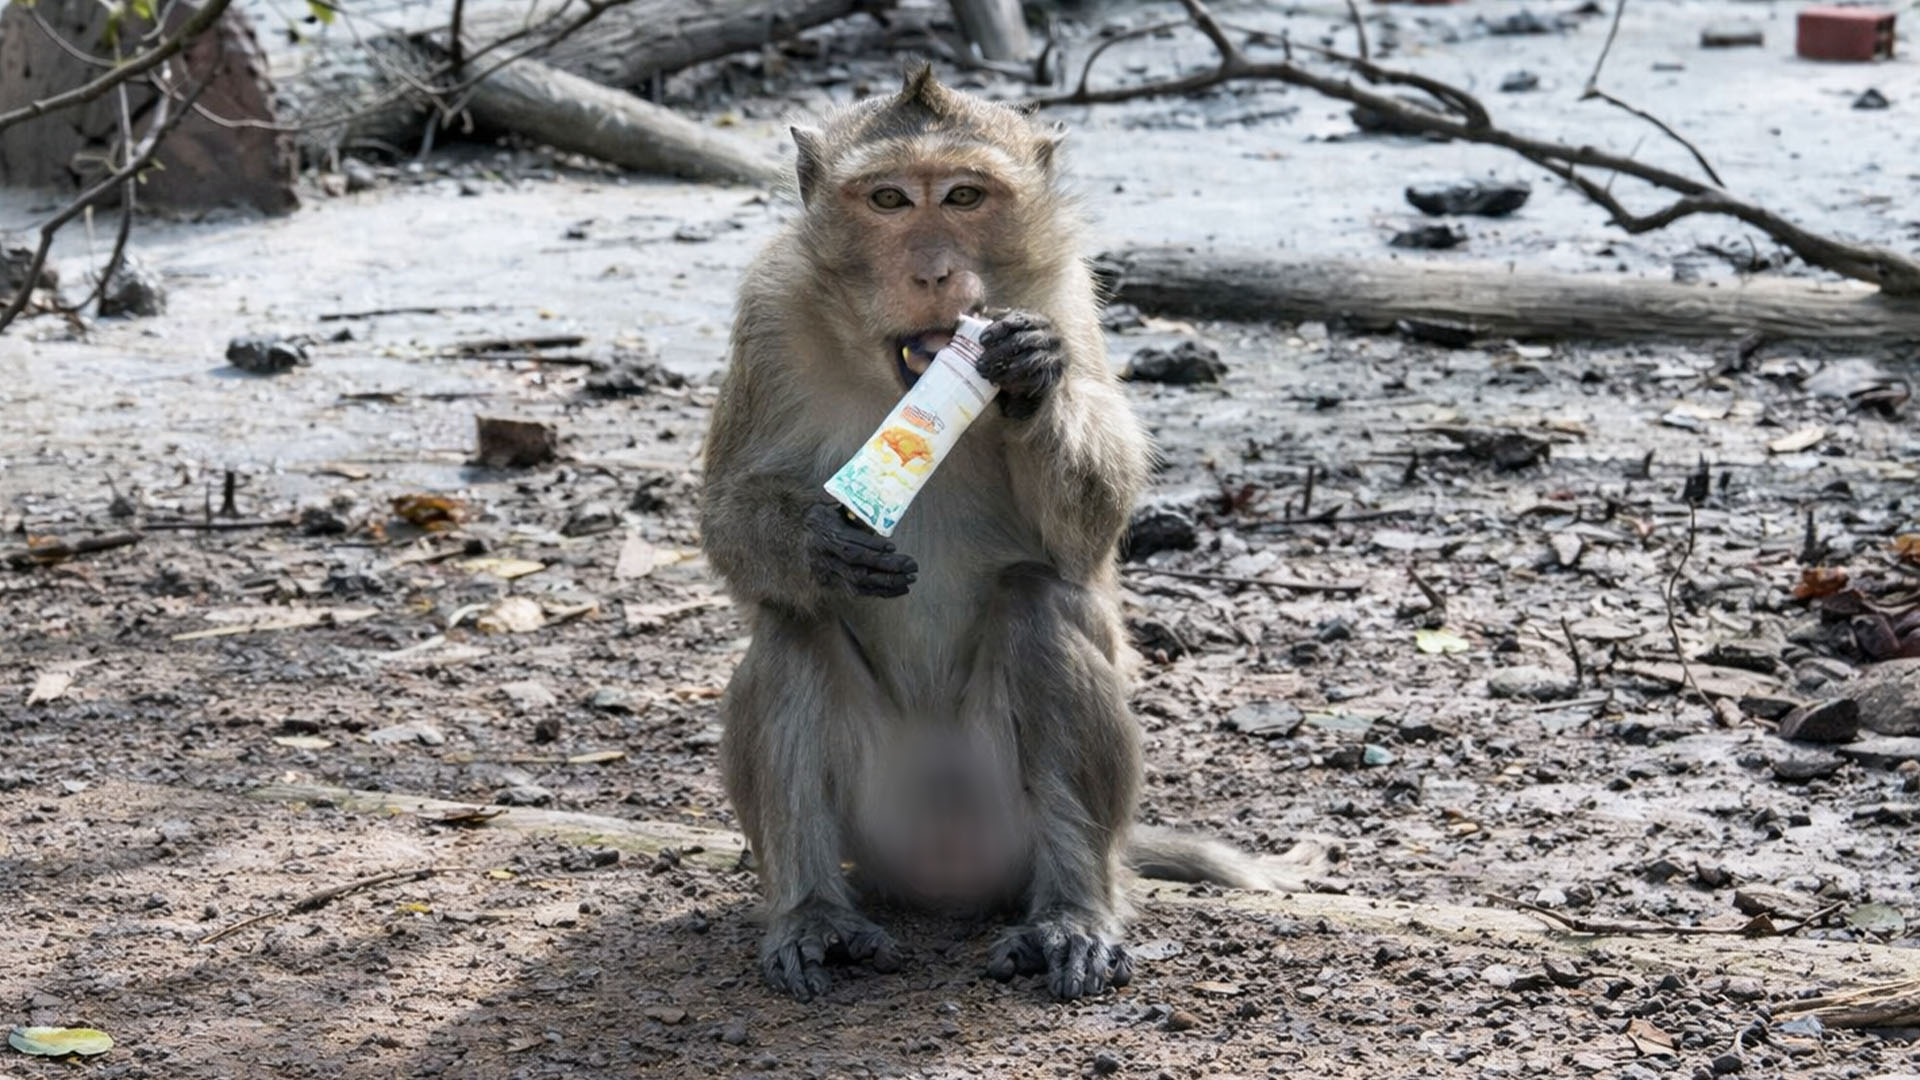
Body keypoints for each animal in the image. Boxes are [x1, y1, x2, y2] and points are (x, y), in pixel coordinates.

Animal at [699, 65, 1313, 1003]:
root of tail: (945, 870)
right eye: (888, 198)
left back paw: (1072, 915)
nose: (935, 272)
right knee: (792, 622)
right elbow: (728, 516)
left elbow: (1088, 531)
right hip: (871, 825)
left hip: (1016, 824)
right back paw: (814, 917)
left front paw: (1033, 378)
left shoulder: (1067, 295)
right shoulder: (768, 310)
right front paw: (819, 541)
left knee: (1037, 604)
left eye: (962, 195)